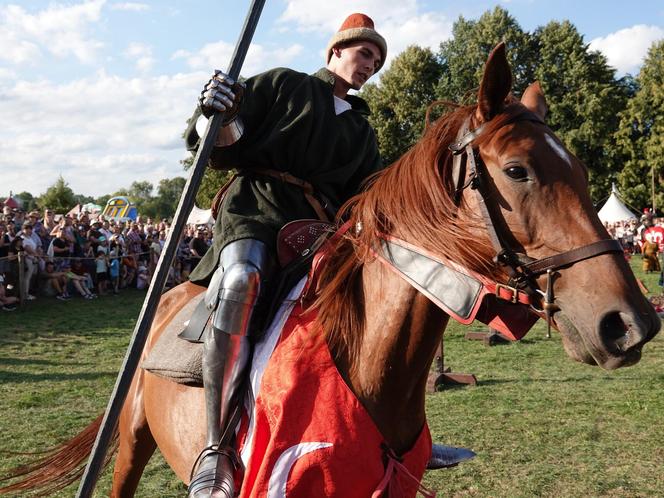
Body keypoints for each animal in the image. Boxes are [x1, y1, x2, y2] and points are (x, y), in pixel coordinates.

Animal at [2, 43, 660, 498]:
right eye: (518, 170)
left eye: (579, 170)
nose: (628, 323)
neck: (363, 356)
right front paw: (219, 105)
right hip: (134, 440)